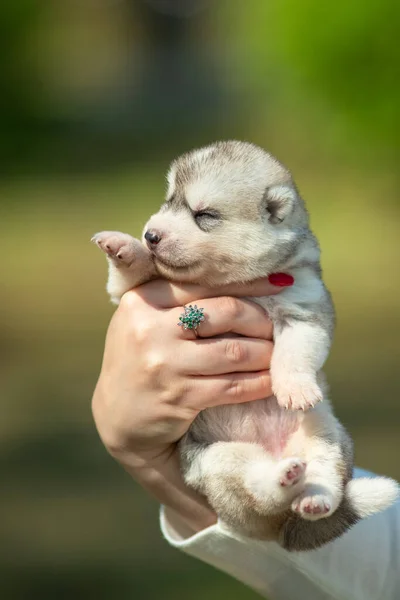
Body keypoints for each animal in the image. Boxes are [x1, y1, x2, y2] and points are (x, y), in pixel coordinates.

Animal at [93, 139, 396, 548]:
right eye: (169, 201)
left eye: (204, 214)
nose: (151, 235)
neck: (231, 281)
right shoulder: (136, 289)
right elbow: (130, 275)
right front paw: (123, 247)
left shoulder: (305, 309)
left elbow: (295, 352)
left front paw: (295, 387)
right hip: (219, 461)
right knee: (259, 490)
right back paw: (285, 481)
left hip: (328, 437)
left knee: (326, 484)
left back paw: (313, 499)